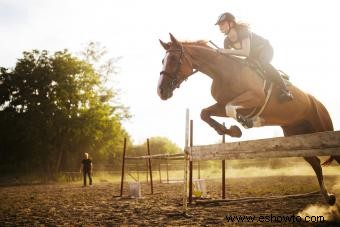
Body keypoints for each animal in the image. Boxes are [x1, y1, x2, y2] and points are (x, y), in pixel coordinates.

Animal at [158, 33, 338, 206]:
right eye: (162, 60)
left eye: (173, 59)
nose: (161, 91)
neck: (223, 72)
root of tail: (316, 101)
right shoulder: (222, 105)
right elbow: (206, 113)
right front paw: (230, 131)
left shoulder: (254, 98)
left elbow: (231, 108)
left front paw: (247, 123)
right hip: (295, 134)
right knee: (315, 163)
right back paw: (328, 197)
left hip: (322, 130)